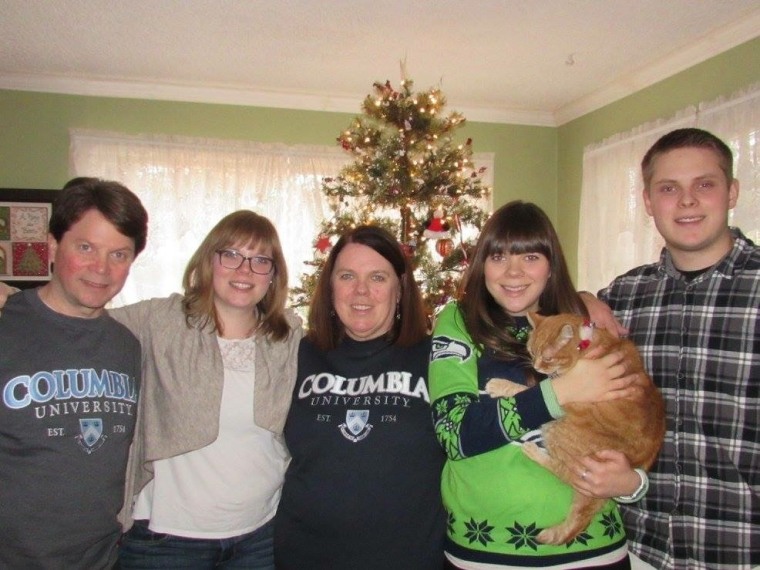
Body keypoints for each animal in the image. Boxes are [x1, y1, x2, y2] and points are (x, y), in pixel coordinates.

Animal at [486, 312, 664, 544]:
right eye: (532, 352)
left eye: (548, 358)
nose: (537, 367)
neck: (586, 345)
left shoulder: (564, 398)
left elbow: (526, 390)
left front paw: (500, 385)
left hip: (559, 429)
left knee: (565, 473)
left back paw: (533, 451)